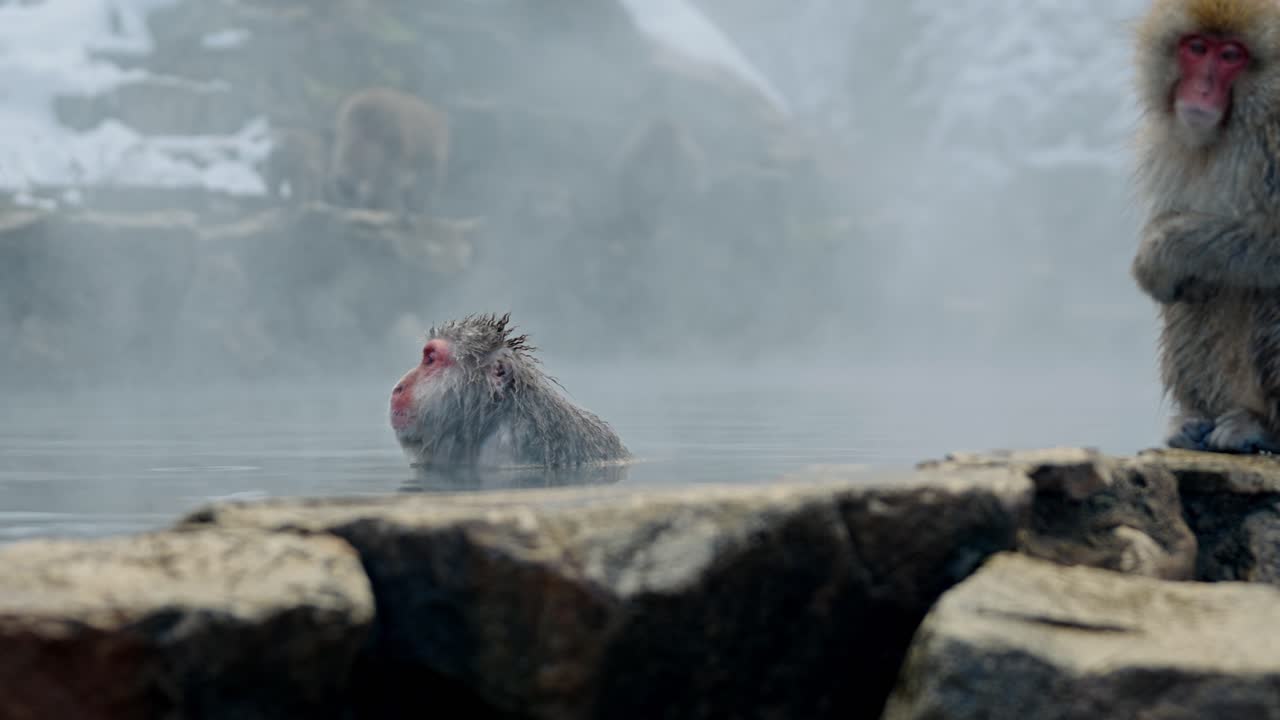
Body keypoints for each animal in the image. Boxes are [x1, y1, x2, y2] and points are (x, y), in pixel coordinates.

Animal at [1130, 0, 1280, 453]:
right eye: (1197, 48)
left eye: (1231, 55)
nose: (1201, 89)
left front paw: (1165, 251)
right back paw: (1197, 420)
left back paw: (1263, 427)